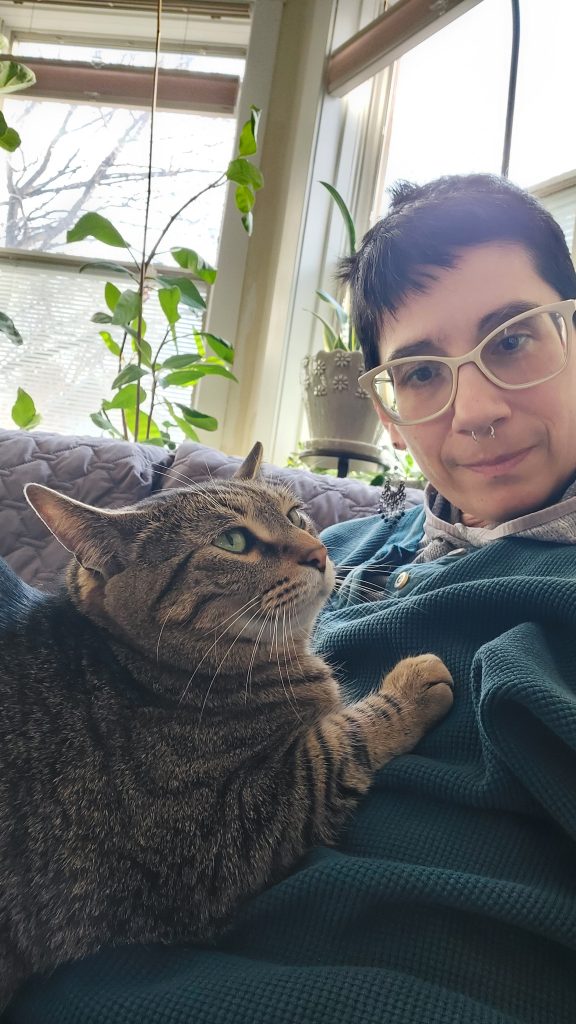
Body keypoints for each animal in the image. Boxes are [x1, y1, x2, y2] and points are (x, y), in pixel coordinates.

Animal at [0, 441, 453, 1009]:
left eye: (295, 516)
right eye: (232, 541)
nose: (320, 552)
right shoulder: (236, 829)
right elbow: (340, 740)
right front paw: (411, 686)